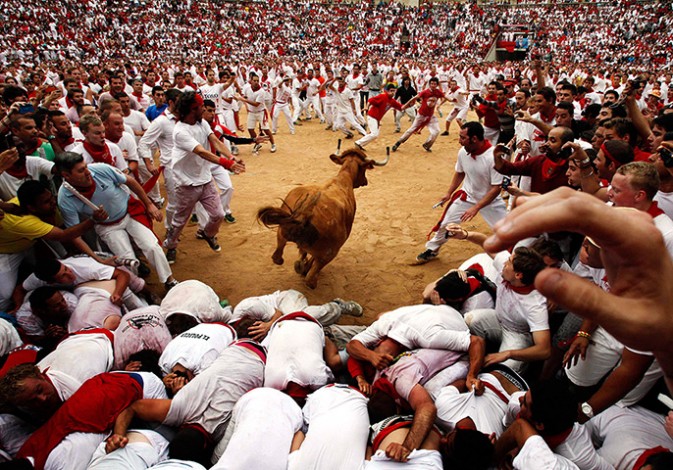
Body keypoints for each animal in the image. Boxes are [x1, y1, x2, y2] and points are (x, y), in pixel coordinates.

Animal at [258, 149, 388, 288]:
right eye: (364, 169)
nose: (365, 181)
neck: (343, 178)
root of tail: (306, 212)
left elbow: (303, 253)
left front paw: (301, 264)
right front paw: (304, 267)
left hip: (281, 232)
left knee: (277, 257)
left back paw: (298, 265)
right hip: (330, 253)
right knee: (311, 277)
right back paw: (310, 276)